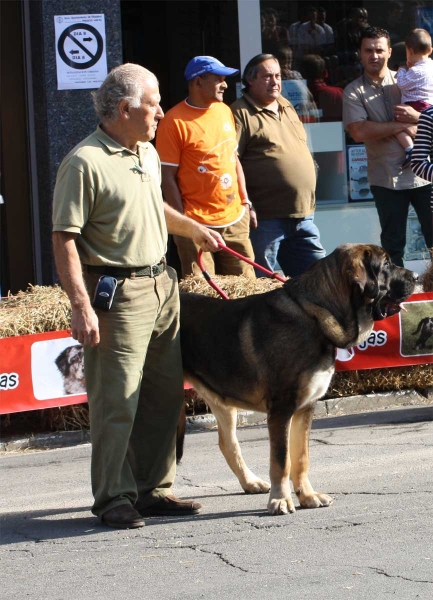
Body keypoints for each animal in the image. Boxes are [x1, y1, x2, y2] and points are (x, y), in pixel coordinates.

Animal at [178, 244, 416, 516]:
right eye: (385, 265)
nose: (416, 277)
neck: (315, 314)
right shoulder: (282, 409)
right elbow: (281, 461)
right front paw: (280, 500)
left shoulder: (304, 407)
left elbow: (301, 457)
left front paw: (308, 496)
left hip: (223, 403)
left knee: (228, 444)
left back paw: (250, 482)